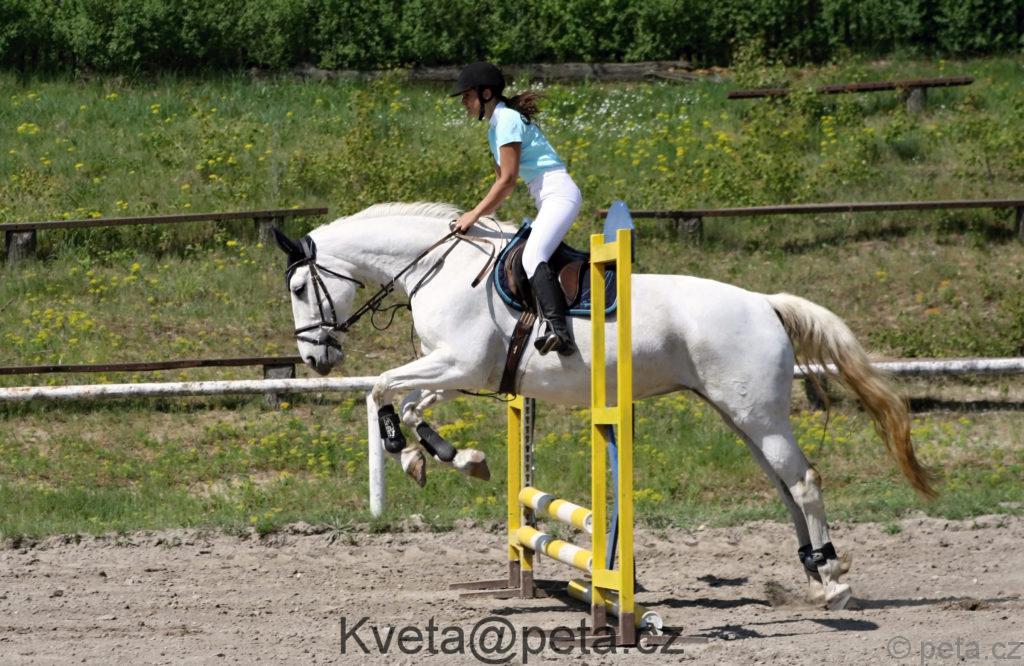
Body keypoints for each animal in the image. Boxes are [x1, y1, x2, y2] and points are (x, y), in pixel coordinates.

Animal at [271, 201, 935, 610]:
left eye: (301, 287)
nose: (315, 358)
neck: (438, 268)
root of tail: (764, 302)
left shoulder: (459, 364)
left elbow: (382, 387)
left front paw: (409, 452)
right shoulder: (458, 372)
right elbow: (406, 401)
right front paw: (448, 457)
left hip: (758, 415)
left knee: (802, 480)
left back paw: (833, 585)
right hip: (740, 415)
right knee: (783, 484)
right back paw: (812, 570)